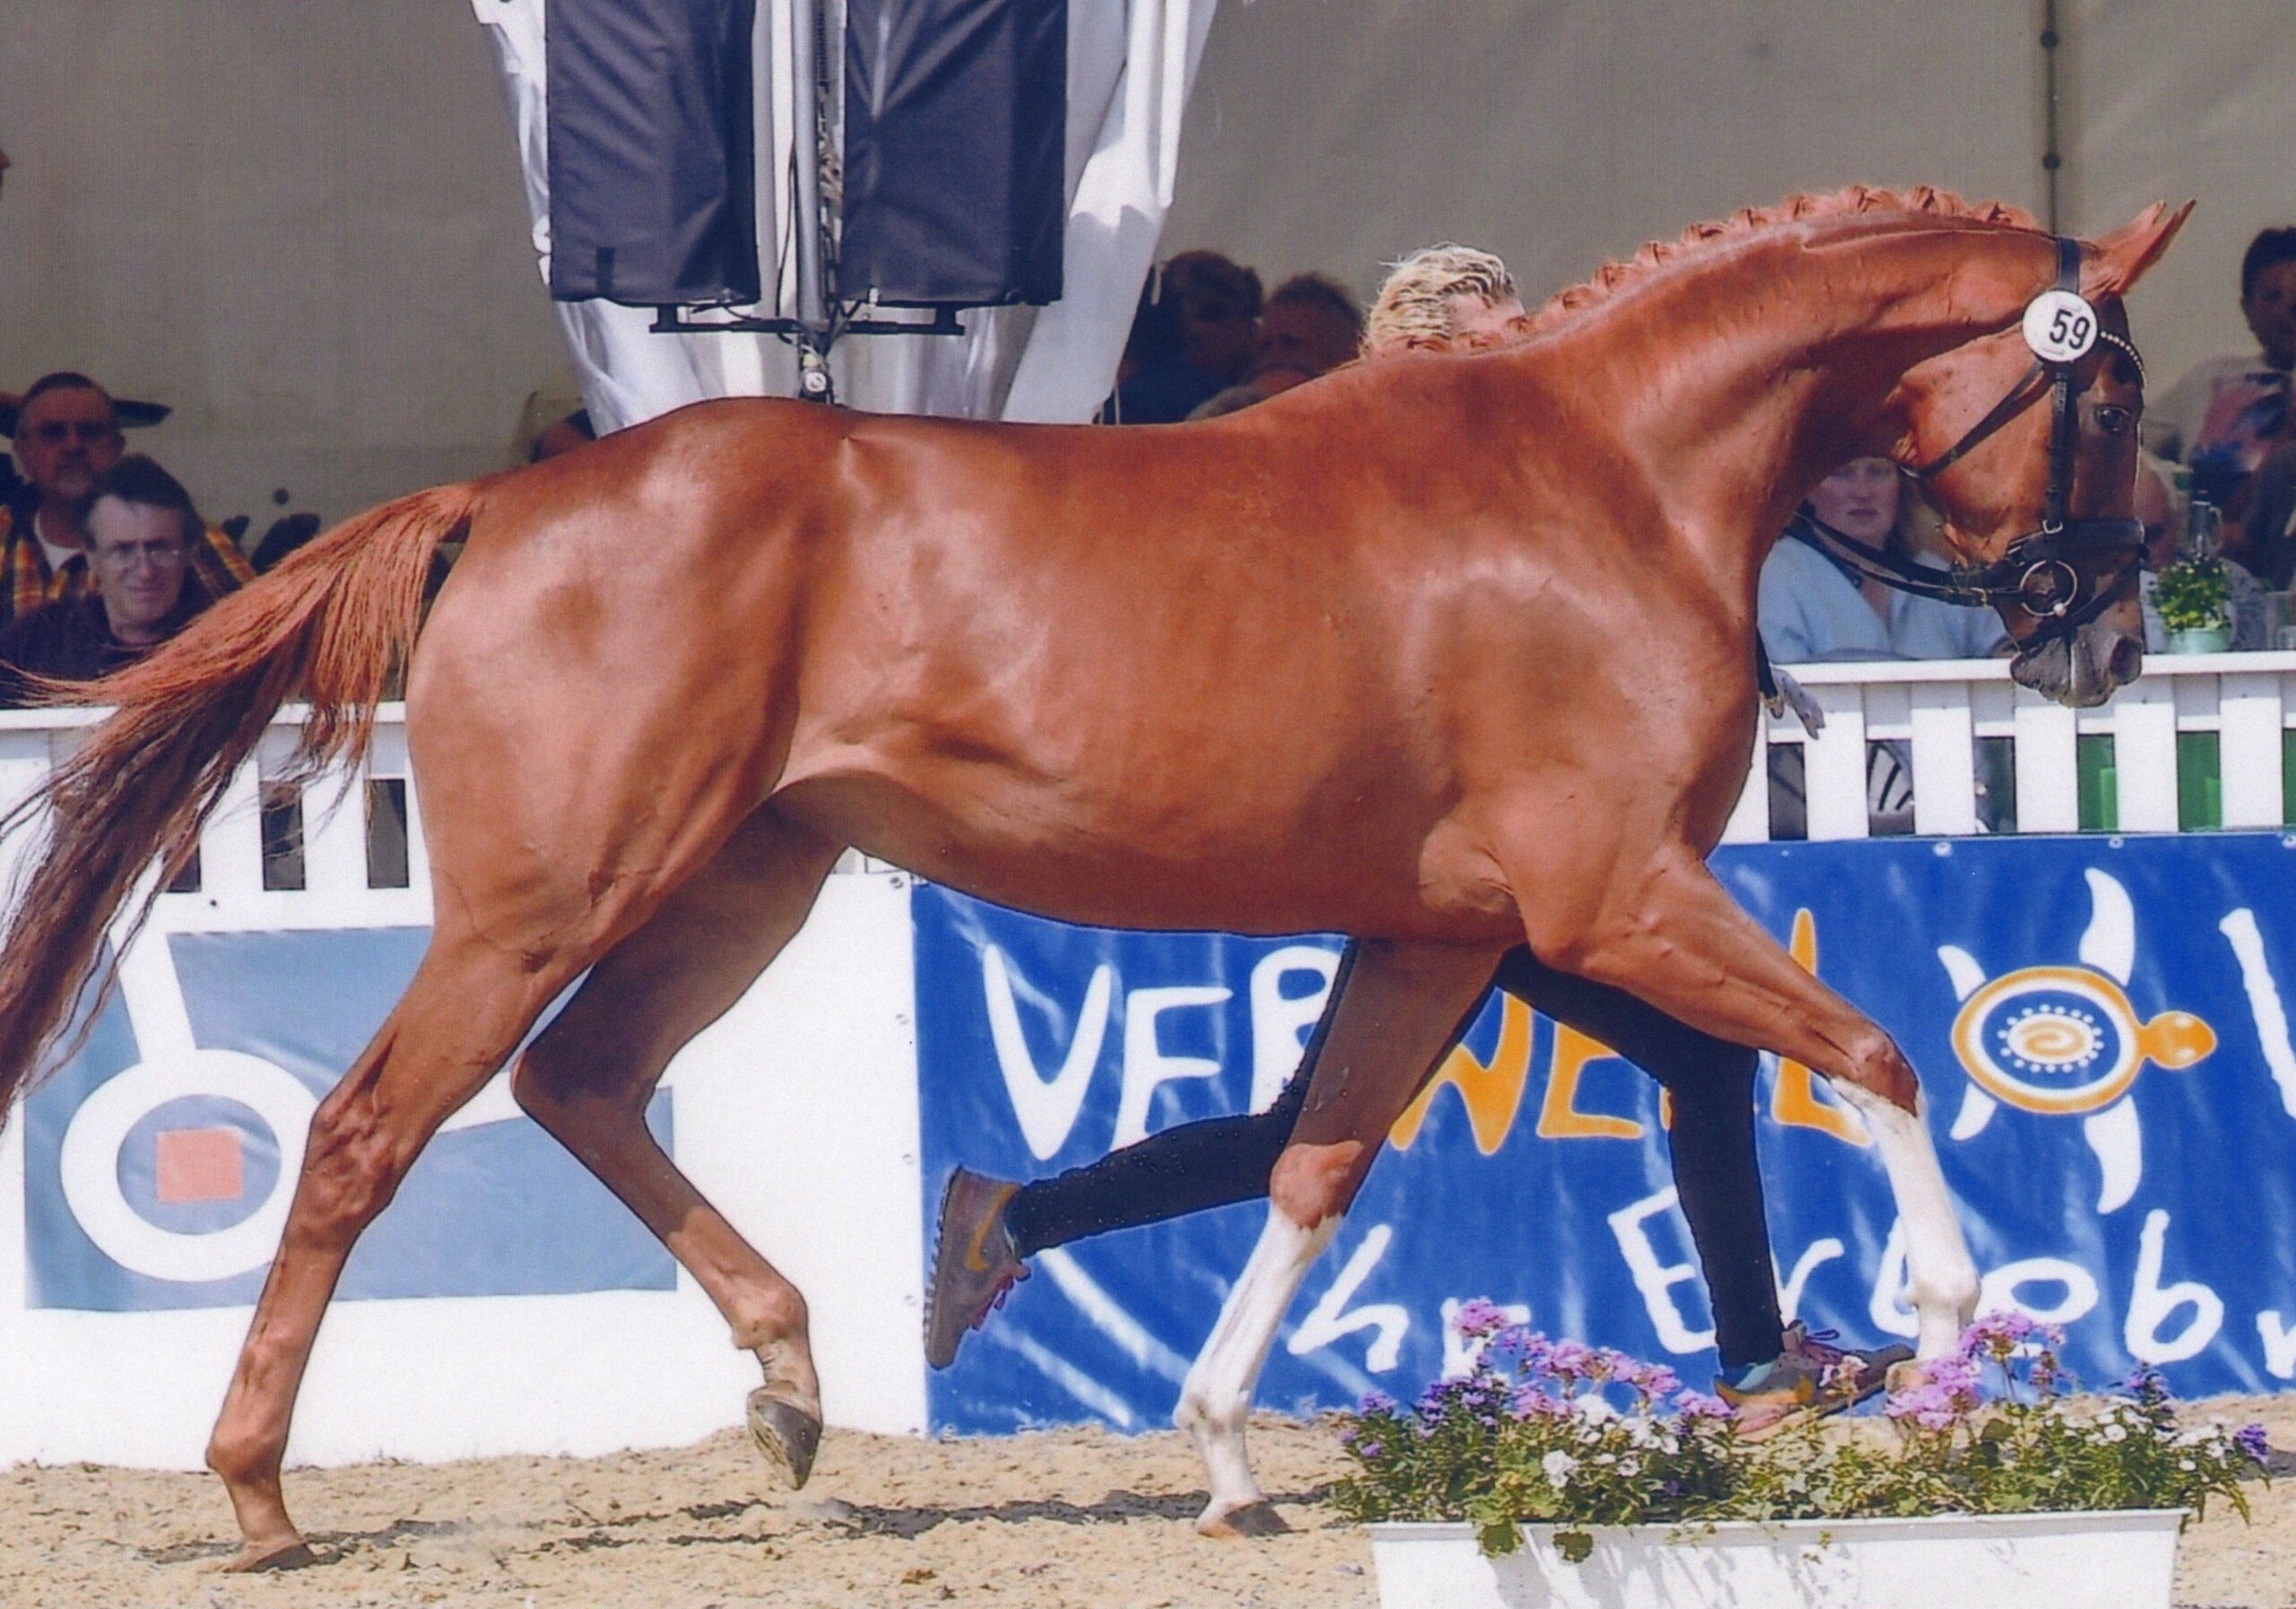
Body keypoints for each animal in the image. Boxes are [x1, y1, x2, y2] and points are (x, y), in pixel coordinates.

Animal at [0, 187, 2183, 1567]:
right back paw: (261, 1495)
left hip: (740, 883)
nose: (2104, 643)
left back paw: (792, 1379)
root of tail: (502, 504)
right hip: (552, 900)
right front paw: (1937, 1334)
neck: (1607, 480)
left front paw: (1221, 1455)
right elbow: (1877, 1054)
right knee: (365, 1132)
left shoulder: (1446, 930)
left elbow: (1314, 1164)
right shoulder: (1610, 900)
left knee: (584, 1084)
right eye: (2115, 389)